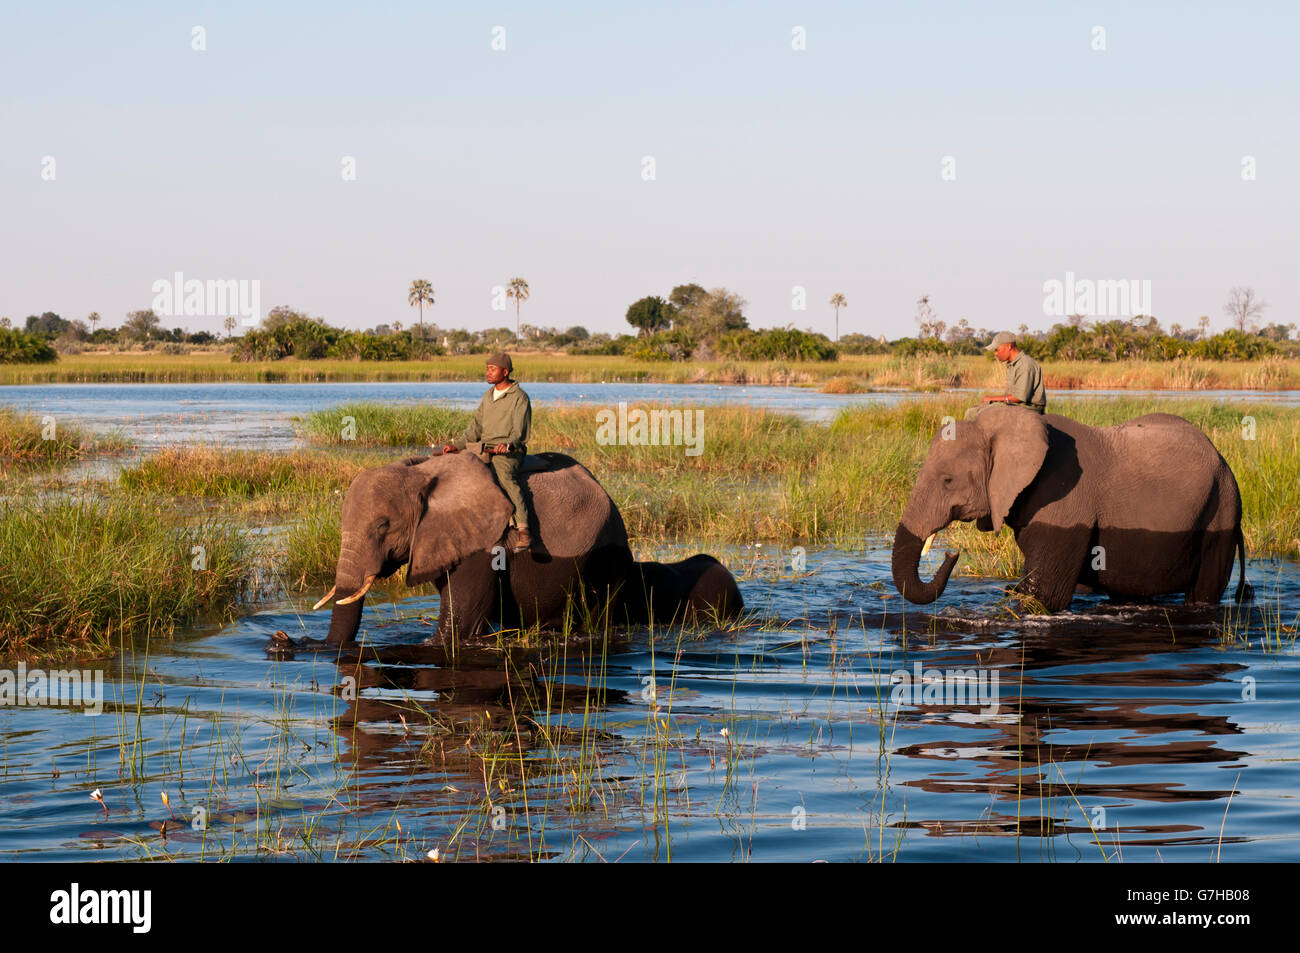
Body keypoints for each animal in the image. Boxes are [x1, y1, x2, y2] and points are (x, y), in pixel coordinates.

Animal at [312, 447, 743, 642]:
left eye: (383, 526)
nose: (293, 643)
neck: (422, 472)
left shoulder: (484, 543)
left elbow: (459, 625)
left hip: (604, 552)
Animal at [894, 400, 1248, 608]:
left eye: (947, 480)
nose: (952, 554)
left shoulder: (1063, 498)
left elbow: (1044, 595)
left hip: (1221, 511)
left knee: (1203, 594)